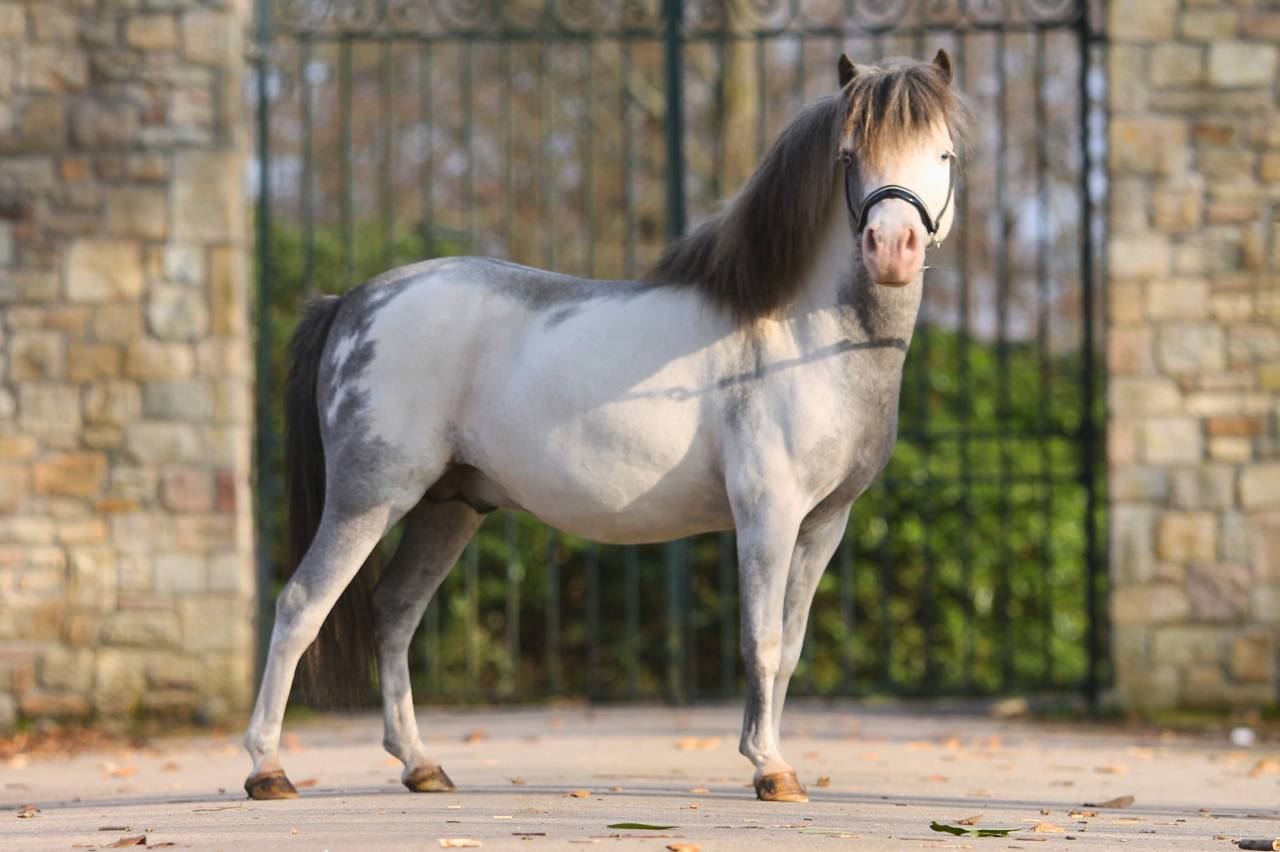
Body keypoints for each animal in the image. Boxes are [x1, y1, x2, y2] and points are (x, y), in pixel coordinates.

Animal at [243, 50, 966, 804]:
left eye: (944, 153)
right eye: (849, 155)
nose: (892, 248)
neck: (799, 335)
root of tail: (353, 302)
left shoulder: (825, 522)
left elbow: (790, 646)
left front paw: (774, 760)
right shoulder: (768, 514)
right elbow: (761, 642)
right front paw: (769, 768)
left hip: (449, 506)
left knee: (394, 612)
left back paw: (422, 765)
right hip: (369, 497)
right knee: (300, 604)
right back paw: (268, 769)